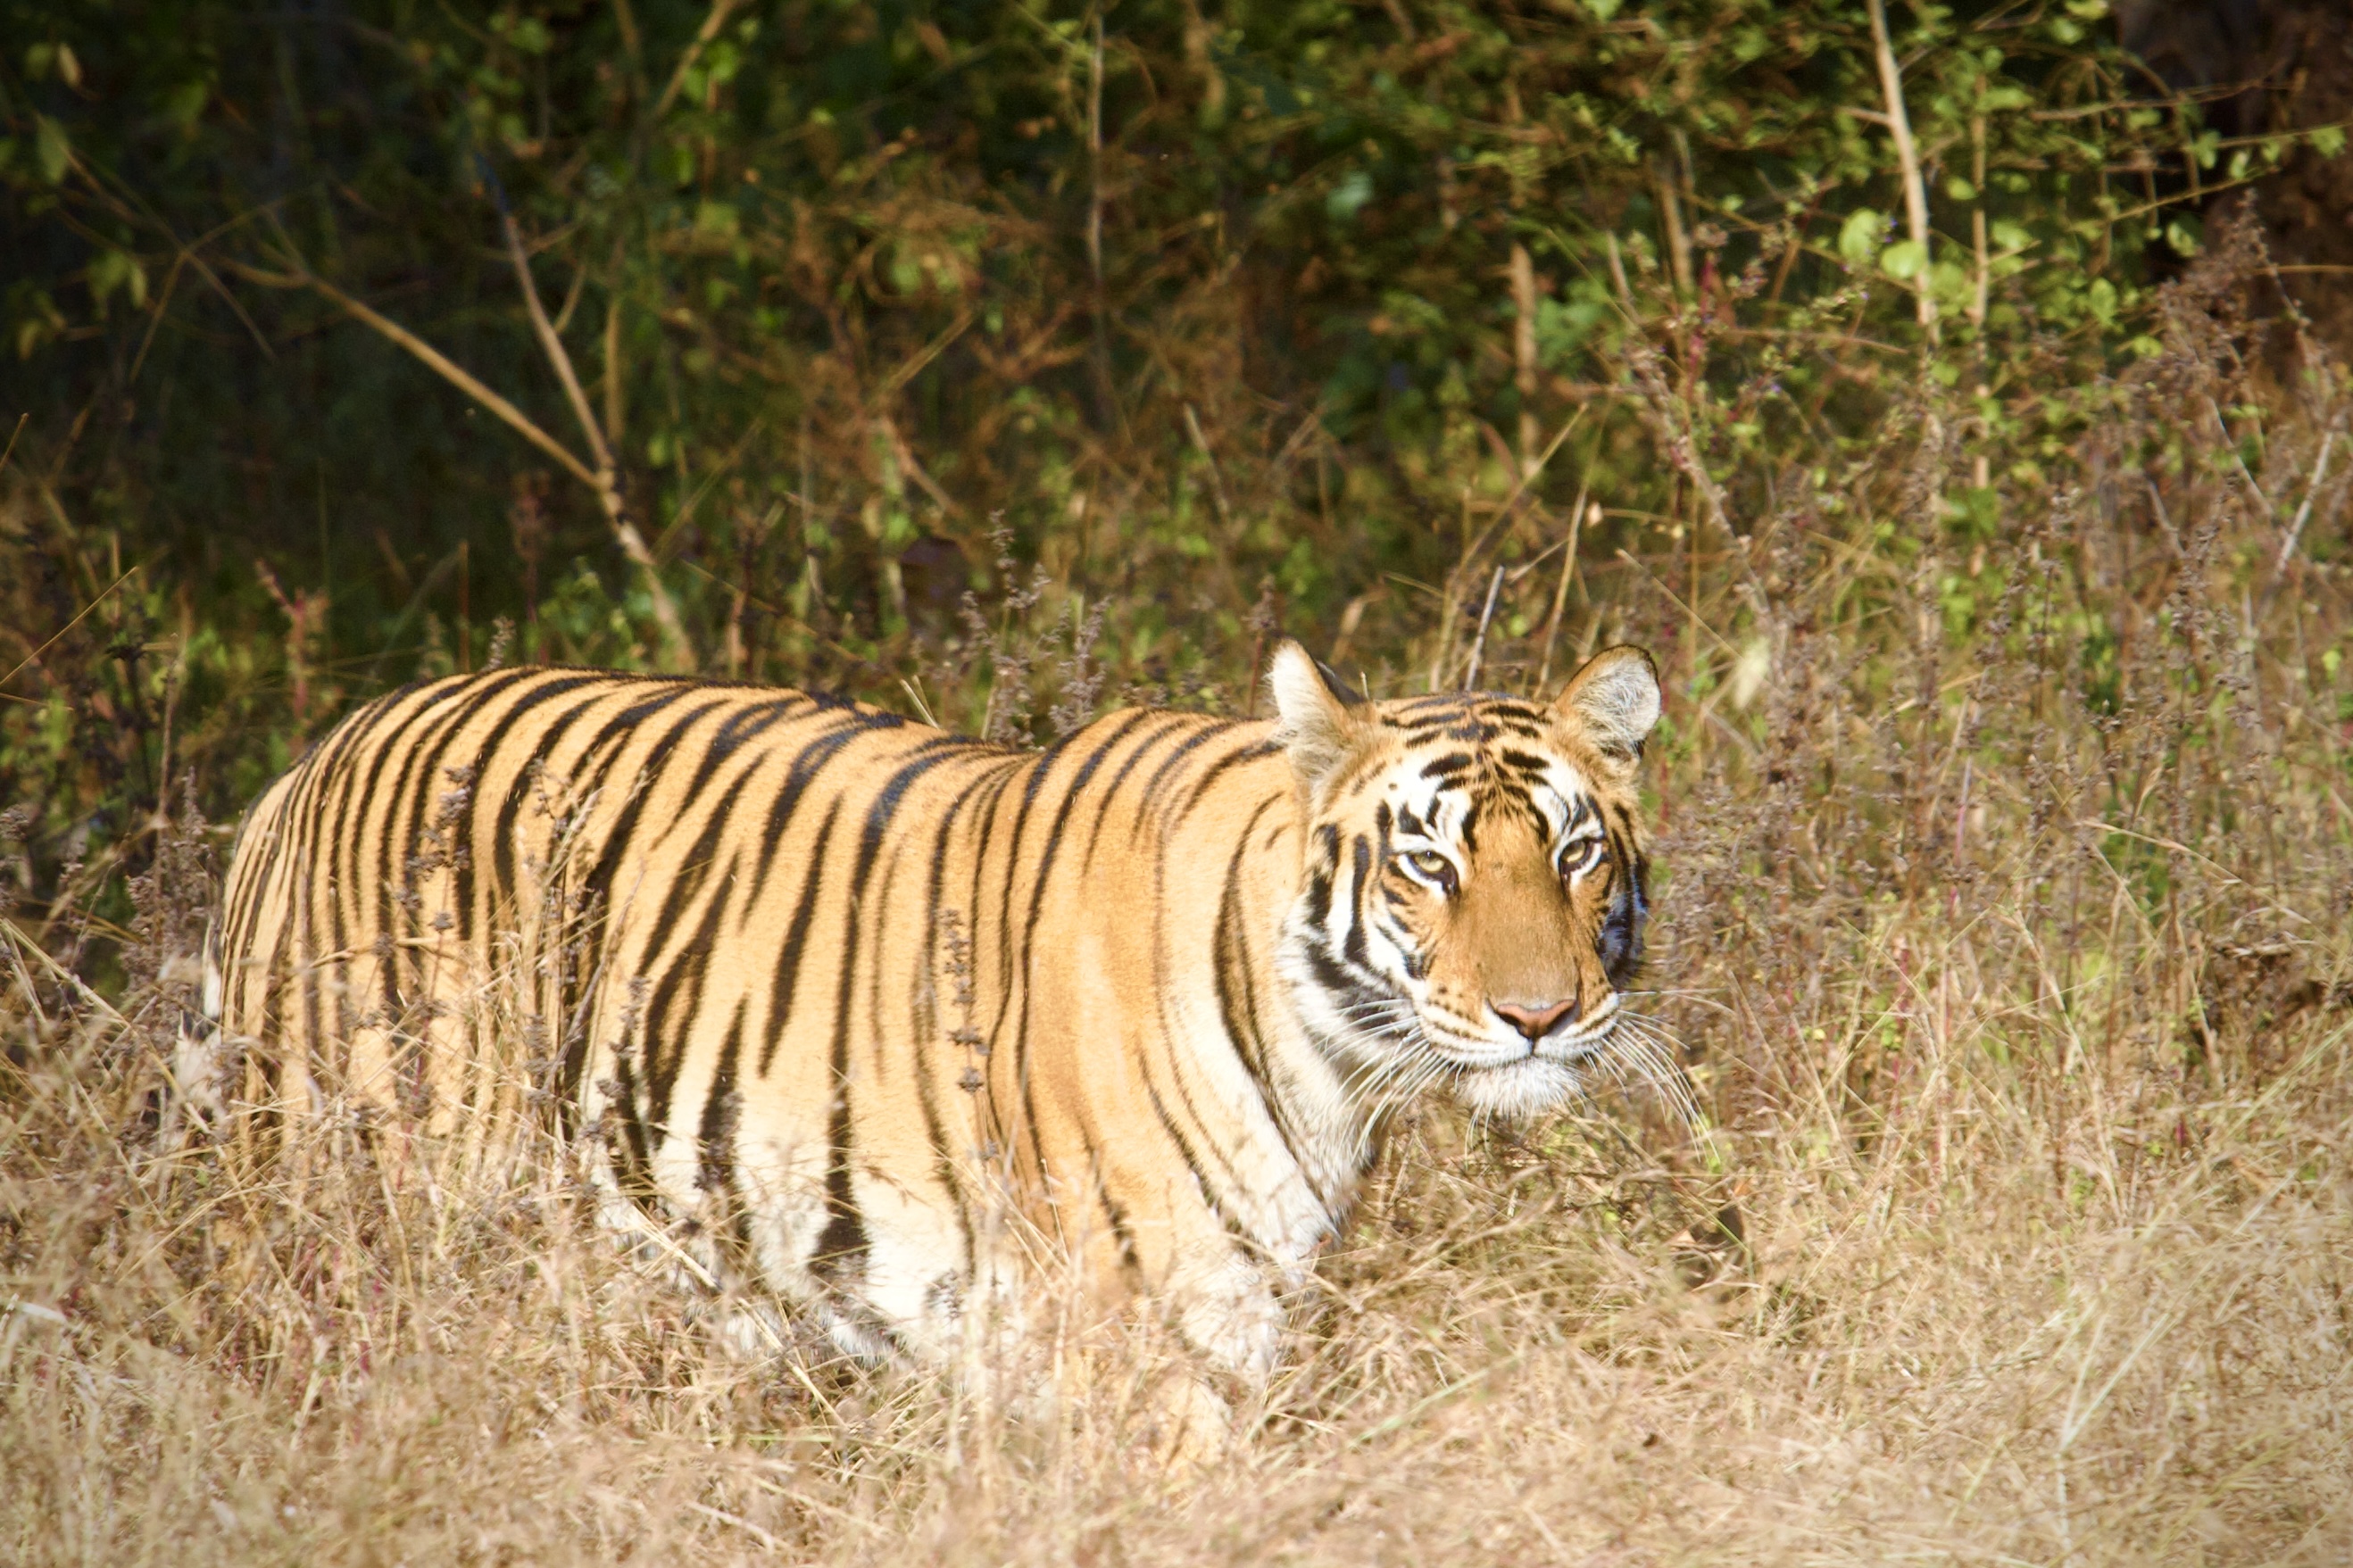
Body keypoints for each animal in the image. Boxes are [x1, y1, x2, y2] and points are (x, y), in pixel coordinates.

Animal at [192, 639, 1665, 1387]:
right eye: (1430, 865)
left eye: (1576, 852)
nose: (1543, 1016)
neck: (1332, 1070)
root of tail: (299, 769)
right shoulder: (1139, 1331)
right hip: (355, 1205)